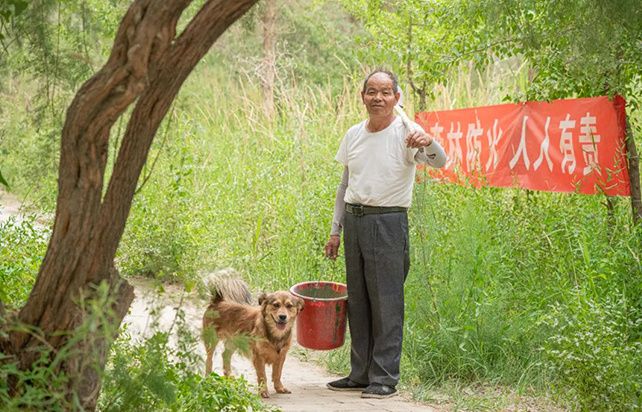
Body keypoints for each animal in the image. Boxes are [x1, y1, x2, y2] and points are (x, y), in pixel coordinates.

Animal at [201, 268, 304, 398]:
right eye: (276, 305)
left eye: (289, 306)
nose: (282, 317)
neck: (274, 334)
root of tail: (218, 301)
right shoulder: (258, 357)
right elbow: (263, 376)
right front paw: (263, 391)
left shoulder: (281, 356)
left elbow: (277, 374)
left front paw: (279, 388)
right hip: (211, 340)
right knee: (209, 360)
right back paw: (208, 377)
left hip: (234, 341)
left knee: (225, 355)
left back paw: (229, 377)